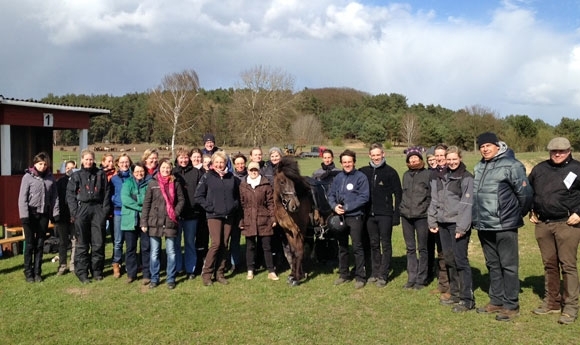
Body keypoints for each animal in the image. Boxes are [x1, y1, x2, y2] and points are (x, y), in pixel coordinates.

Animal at [274, 156, 314, 284]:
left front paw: (297, 278)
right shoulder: (288, 231)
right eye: (282, 182)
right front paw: (293, 274)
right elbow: (292, 252)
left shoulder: (299, 230)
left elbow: (299, 251)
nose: (295, 205)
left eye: (294, 182)